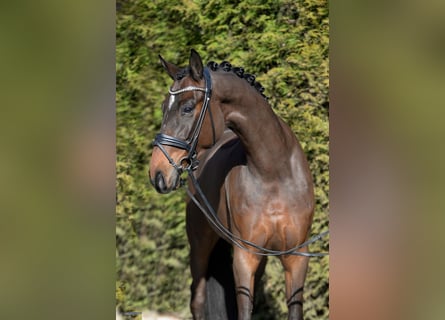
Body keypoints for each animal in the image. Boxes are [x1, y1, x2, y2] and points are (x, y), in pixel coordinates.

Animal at [147, 50, 314, 320]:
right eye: (163, 107)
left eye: (187, 107)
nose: (157, 174)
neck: (274, 172)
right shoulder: (245, 256)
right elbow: (243, 310)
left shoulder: (296, 257)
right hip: (200, 246)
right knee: (198, 300)